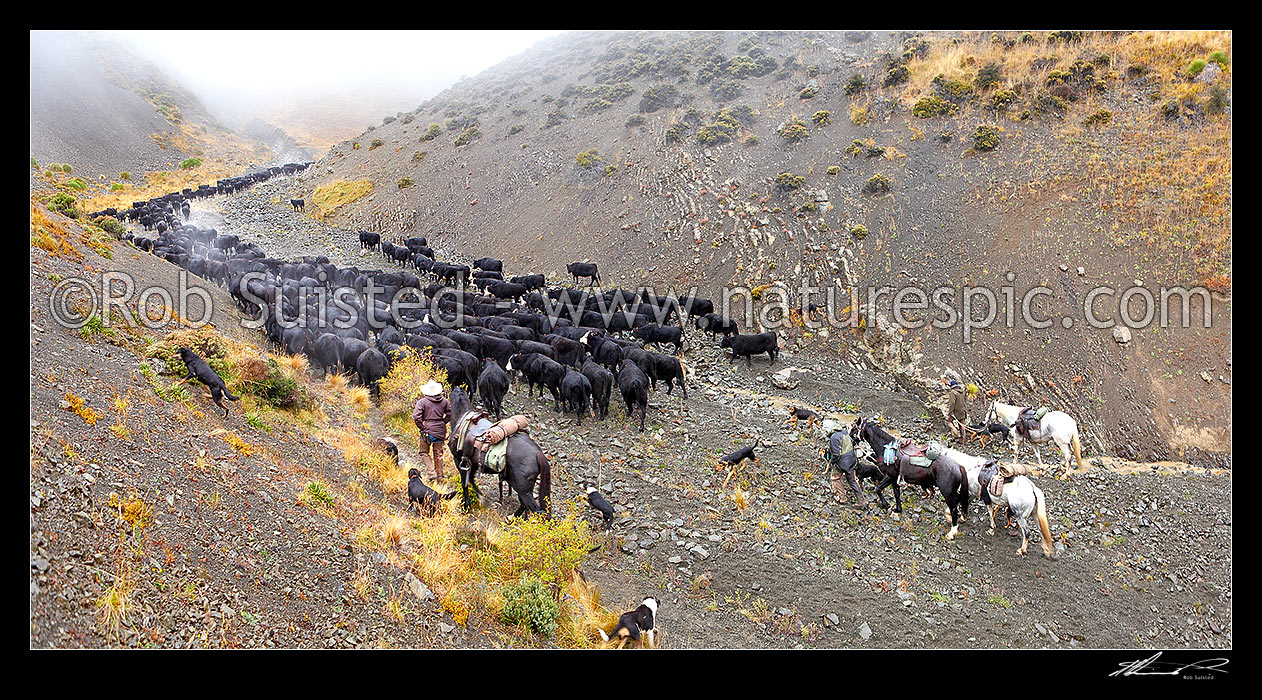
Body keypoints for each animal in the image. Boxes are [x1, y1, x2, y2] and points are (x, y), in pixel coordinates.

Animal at [451, 385, 555, 517]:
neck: (461, 419)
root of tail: (538, 454)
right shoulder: (472, 465)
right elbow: (471, 481)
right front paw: (481, 498)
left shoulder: (459, 462)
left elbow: (465, 483)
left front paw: (467, 506)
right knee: (524, 504)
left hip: (523, 490)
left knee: (534, 508)